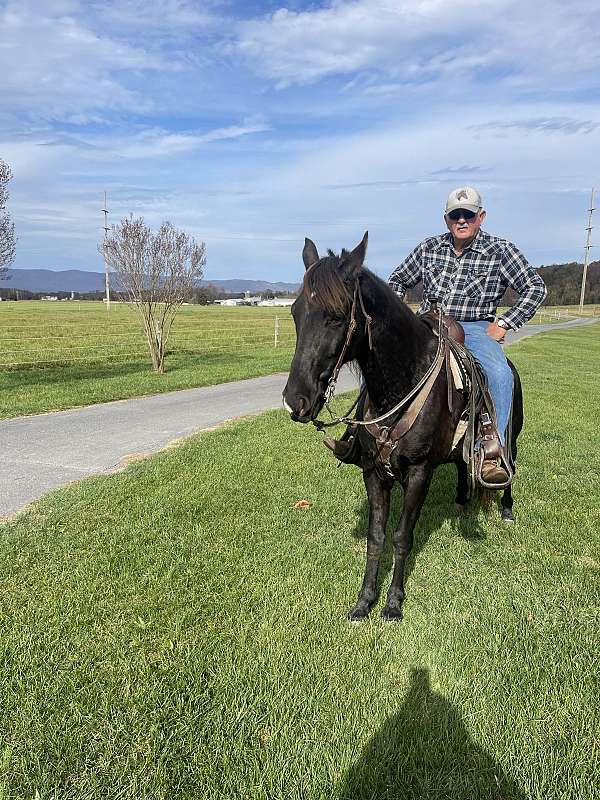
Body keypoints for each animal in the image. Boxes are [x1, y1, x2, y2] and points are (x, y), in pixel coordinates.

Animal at [284, 234, 524, 620]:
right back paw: (461, 499)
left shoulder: (419, 472)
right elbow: (376, 536)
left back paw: (506, 509)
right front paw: (365, 600)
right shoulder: (372, 471)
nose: (295, 401)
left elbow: (401, 536)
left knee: (509, 465)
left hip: (511, 439)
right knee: (462, 464)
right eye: (295, 313)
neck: (403, 378)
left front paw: (394, 603)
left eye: (336, 317)